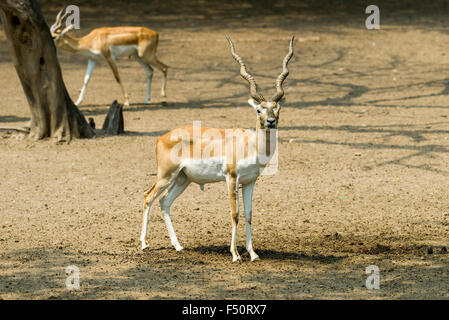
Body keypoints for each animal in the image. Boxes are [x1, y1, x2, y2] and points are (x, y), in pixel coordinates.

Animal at [140, 36, 294, 262]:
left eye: (277, 108)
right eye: (259, 110)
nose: (271, 122)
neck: (250, 144)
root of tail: (162, 137)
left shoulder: (250, 181)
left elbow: (249, 214)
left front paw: (253, 253)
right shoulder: (231, 178)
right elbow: (235, 214)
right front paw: (236, 255)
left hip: (182, 179)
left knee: (164, 202)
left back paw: (178, 246)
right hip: (166, 175)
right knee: (148, 197)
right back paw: (143, 244)